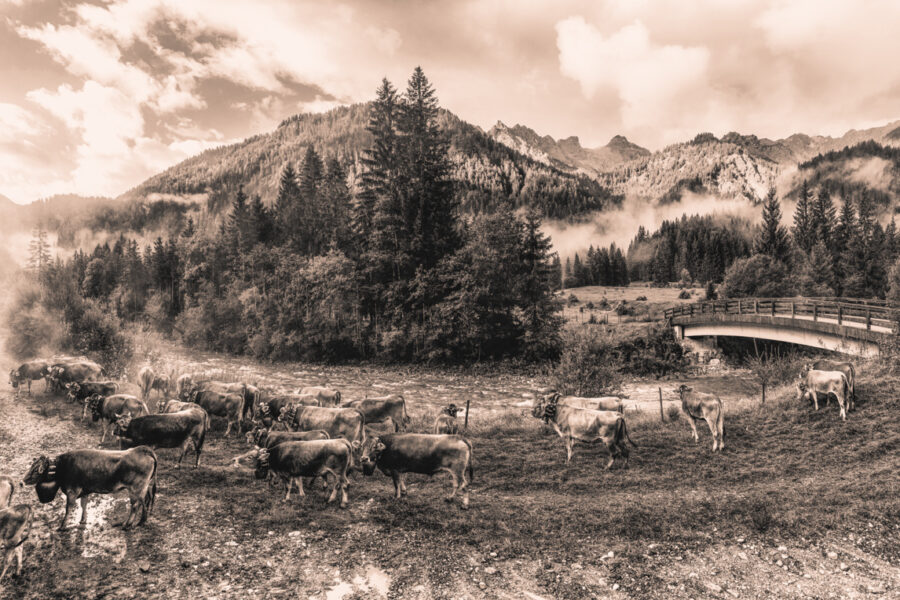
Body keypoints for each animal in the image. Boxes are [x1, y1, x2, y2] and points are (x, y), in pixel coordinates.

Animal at [23, 446, 158, 528]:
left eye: (36, 471)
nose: (22, 481)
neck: (63, 466)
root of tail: (142, 449)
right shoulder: (85, 490)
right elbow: (84, 504)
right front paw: (83, 520)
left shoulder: (72, 490)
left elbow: (68, 508)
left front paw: (63, 526)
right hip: (143, 488)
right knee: (145, 500)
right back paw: (138, 521)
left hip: (135, 489)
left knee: (136, 505)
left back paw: (128, 524)